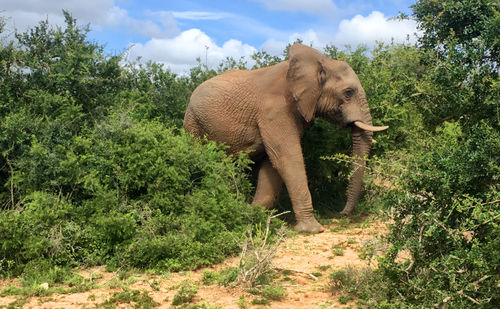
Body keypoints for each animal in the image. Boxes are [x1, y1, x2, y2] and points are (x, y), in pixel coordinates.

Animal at [184, 42, 386, 231]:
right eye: (348, 92)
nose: (341, 213)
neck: (320, 62)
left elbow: (272, 162)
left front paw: (254, 215)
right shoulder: (275, 110)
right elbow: (287, 157)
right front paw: (312, 229)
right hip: (192, 122)